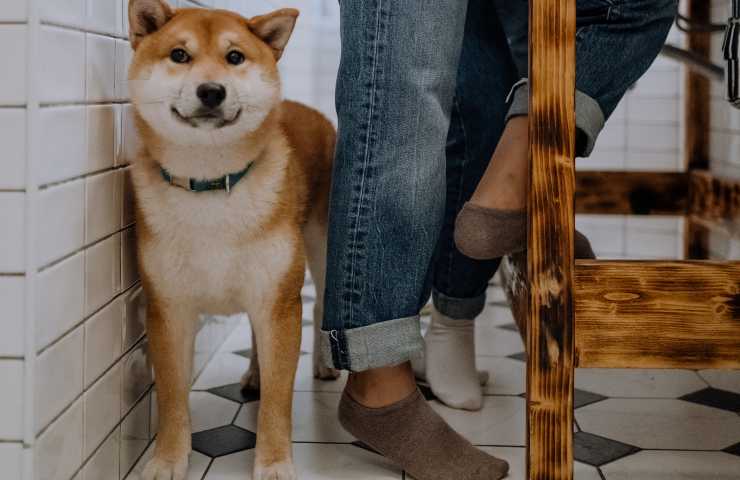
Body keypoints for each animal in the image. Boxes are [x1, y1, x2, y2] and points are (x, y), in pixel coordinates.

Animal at [126, 1, 336, 478]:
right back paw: (255, 374)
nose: (211, 91)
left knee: (321, 311)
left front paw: (274, 462)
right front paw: (168, 458)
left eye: (235, 57)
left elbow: (279, 400)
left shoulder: (279, 301)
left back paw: (322, 363)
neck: (210, 186)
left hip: (321, 249)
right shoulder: (169, 308)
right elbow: (172, 397)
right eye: (179, 55)